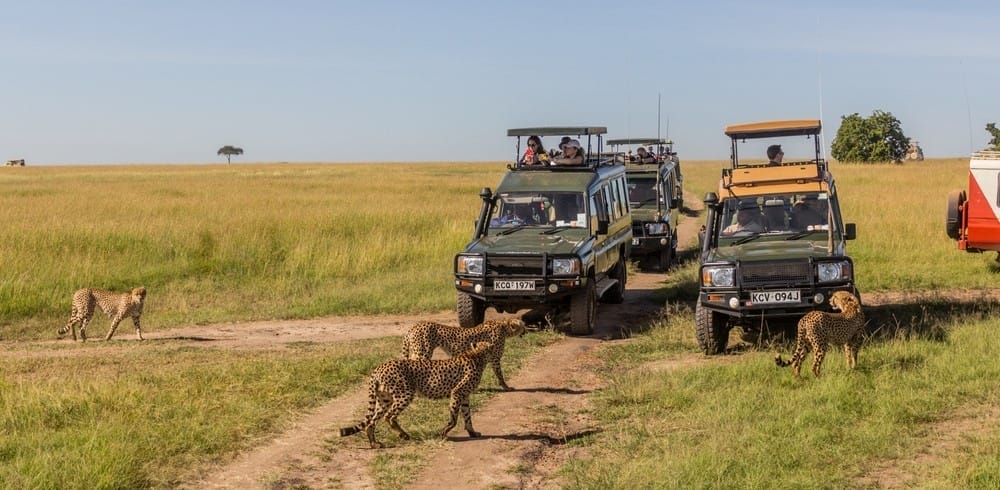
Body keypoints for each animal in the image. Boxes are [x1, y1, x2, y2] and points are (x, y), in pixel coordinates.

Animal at [340, 340, 494, 449]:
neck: (478, 355)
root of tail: (379, 367)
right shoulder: (457, 392)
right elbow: (454, 418)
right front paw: (444, 432)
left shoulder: (465, 395)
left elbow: (468, 416)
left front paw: (472, 433)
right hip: (405, 394)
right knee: (389, 416)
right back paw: (403, 435)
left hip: (384, 399)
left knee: (371, 421)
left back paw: (374, 444)